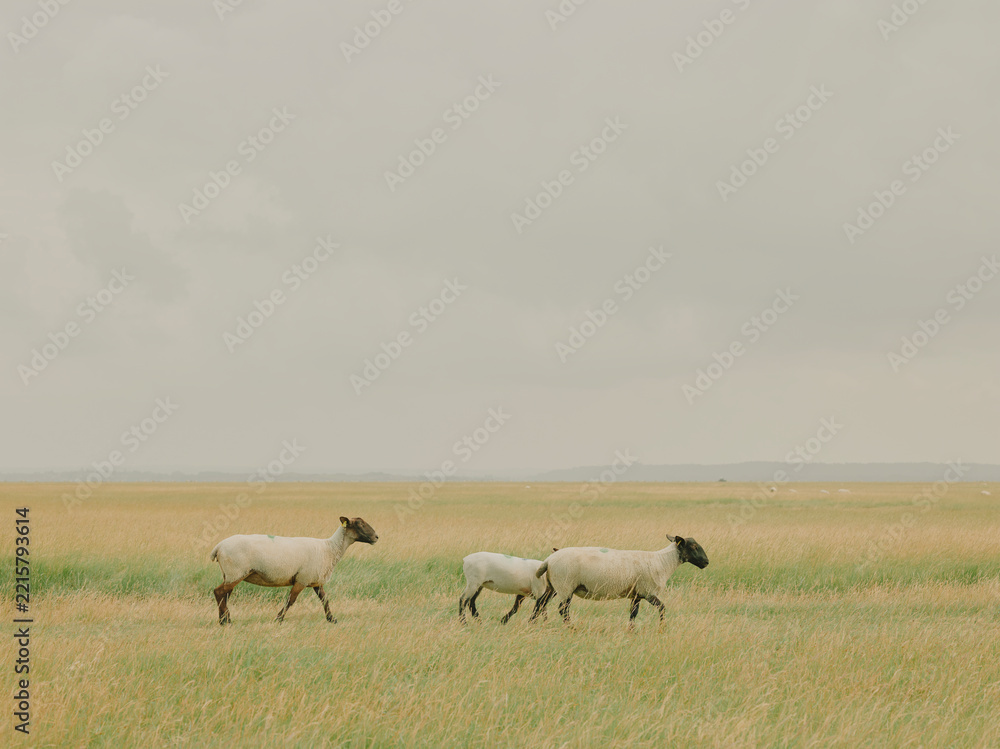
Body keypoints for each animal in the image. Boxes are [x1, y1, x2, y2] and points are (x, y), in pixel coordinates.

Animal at [210, 516, 378, 625]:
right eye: (360, 524)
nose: (376, 537)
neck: (329, 549)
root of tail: (218, 547)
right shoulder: (302, 579)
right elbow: (290, 600)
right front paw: (278, 619)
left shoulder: (315, 581)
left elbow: (325, 599)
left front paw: (332, 619)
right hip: (235, 572)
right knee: (219, 592)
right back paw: (224, 621)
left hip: (230, 574)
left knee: (224, 594)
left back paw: (225, 618)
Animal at [529, 535, 709, 627]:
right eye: (693, 547)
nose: (706, 562)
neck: (663, 562)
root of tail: (548, 560)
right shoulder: (648, 592)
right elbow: (662, 608)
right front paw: (662, 628)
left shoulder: (636, 594)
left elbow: (633, 613)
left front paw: (631, 631)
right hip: (565, 586)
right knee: (562, 609)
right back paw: (571, 628)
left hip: (553, 586)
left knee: (540, 603)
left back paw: (532, 624)